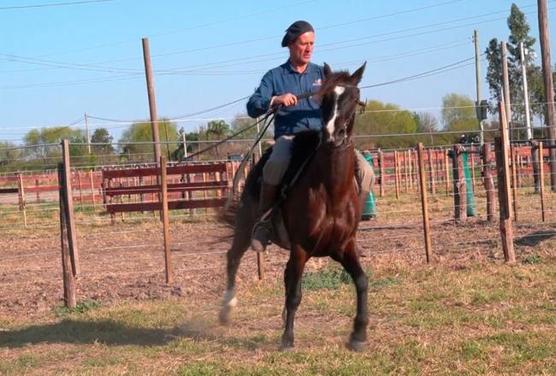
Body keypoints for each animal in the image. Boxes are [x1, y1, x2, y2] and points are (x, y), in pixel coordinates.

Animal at [218, 62, 370, 352]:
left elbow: (361, 281)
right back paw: (227, 308)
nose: (332, 135)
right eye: (324, 97)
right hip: (245, 226)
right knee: (233, 258)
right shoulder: (301, 248)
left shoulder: (342, 246)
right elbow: (295, 294)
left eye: (354, 97)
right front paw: (287, 338)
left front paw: (359, 334)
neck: (331, 191)